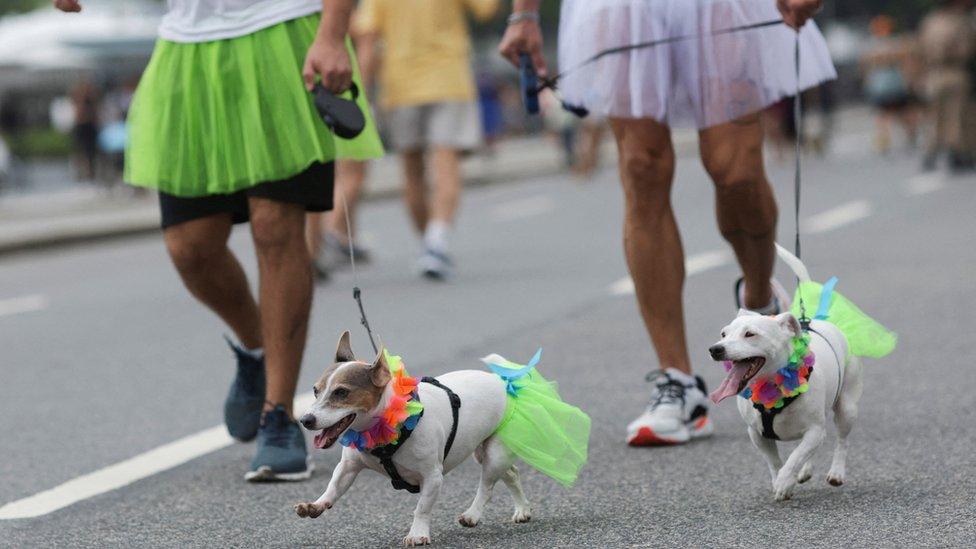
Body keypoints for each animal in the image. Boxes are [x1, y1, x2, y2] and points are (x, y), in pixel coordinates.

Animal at [296, 332, 588, 544]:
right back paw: (523, 510)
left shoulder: (432, 477)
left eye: (341, 393)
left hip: (495, 454)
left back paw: (472, 515)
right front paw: (317, 505)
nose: (305, 420)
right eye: (315, 390)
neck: (388, 423)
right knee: (512, 474)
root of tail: (505, 382)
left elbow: (422, 508)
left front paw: (417, 534)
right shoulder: (348, 466)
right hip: (486, 450)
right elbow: (334, 487)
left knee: (487, 487)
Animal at [708, 246, 860, 498]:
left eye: (750, 334)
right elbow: (775, 461)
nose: (715, 349)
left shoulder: (814, 431)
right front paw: (779, 480)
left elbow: (795, 457)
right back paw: (805, 471)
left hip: (847, 406)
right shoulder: (757, 434)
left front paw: (784, 482)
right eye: (723, 334)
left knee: (841, 440)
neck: (773, 385)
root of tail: (815, 320)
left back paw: (836, 472)